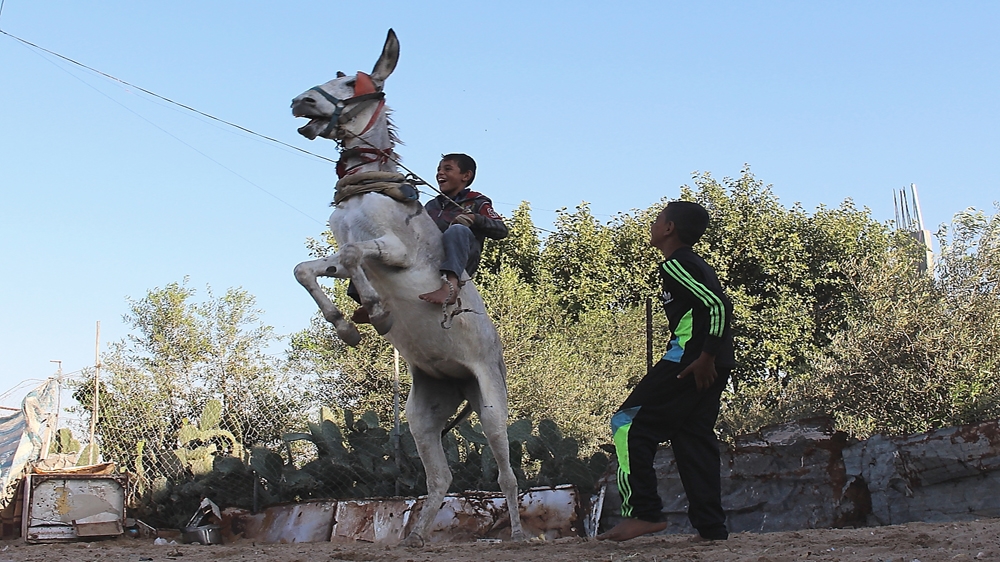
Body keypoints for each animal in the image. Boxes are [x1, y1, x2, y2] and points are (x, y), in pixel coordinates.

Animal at [291, 29, 526, 546]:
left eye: (349, 81)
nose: (300, 101)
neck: (366, 190)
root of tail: (459, 383)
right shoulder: (342, 254)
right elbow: (306, 269)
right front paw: (348, 325)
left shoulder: (392, 250)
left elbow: (355, 257)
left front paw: (376, 312)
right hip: (424, 416)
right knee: (440, 476)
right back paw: (414, 535)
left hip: (491, 404)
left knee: (506, 474)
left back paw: (519, 534)